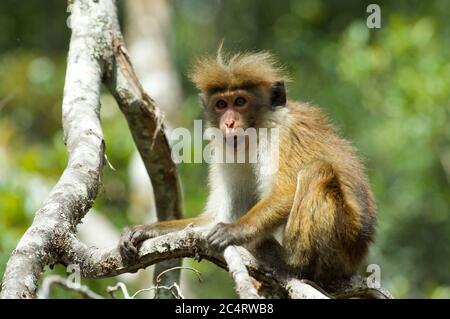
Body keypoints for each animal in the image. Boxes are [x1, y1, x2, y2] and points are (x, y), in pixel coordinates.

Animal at [119, 50, 376, 284]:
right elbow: (217, 216)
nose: (229, 122)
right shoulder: (226, 154)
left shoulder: (284, 136)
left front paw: (234, 231)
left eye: (240, 102)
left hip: (342, 247)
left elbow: (286, 190)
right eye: (221, 104)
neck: (255, 133)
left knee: (316, 171)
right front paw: (146, 230)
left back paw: (293, 264)